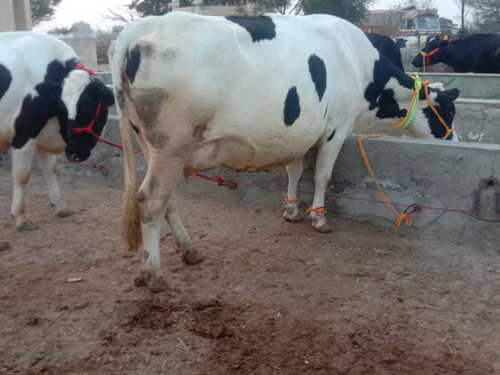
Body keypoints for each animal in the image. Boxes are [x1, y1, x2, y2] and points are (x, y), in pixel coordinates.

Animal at [0, 32, 114, 231]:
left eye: (88, 108)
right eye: (63, 107)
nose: (74, 153)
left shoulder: (42, 132)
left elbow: (50, 169)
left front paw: (60, 206)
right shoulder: (24, 133)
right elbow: (22, 175)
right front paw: (20, 217)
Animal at [109, 13, 460, 292]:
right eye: (448, 110)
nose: (455, 140)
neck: (356, 61)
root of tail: (135, 30)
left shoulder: (298, 132)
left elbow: (295, 171)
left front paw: (291, 211)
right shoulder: (336, 128)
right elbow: (321, 176)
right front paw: (319, 219)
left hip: (154, 146)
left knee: (166, 200)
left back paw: (190, 250)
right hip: (171, 144)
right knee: (151, 201)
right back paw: (154, 274)